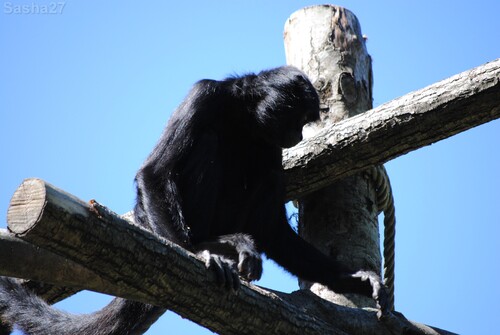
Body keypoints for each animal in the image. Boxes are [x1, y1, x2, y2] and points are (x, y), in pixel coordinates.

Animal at [0, 65, 386, 334]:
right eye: (298, 119)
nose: (298, 134)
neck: (244, 116)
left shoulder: (271, 142)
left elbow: (271, 228)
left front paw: (354, 279)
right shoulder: (205, 95)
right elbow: (155, 173)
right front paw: (198, 255)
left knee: (262, 173)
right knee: (208, 141)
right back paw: (213, 244)